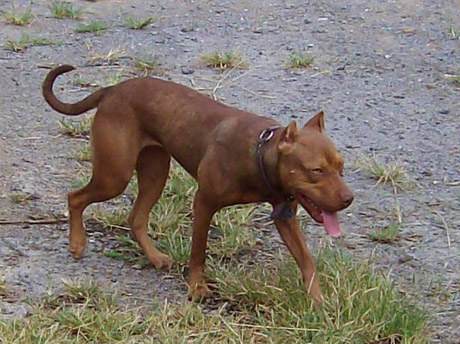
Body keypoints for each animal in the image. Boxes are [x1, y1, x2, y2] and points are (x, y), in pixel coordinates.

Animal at [42, 64, 352, 304]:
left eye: (341, 167)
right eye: (316, 170)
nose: (349, 199)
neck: (259, 154)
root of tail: (111, 89)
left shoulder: (285, 217)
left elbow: (307, 261)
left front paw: (318, 301)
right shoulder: (203, 204)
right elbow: (198, 253)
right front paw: (196, 288)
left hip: (155, 173)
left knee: (136, 218)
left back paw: (155, 257)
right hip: (114, 176)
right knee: (75, 197)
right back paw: (77, 243)